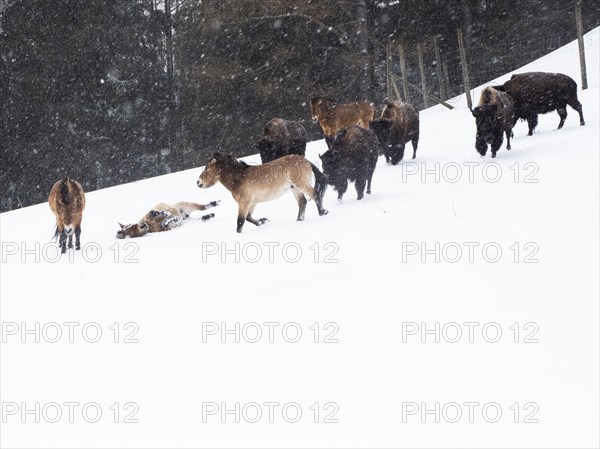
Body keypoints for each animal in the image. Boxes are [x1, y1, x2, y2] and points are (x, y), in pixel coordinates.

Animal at [197, 152, 328, 233]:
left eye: (207, 168)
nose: (198, 183)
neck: (238, 178)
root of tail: (305, 160)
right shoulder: (252, 203)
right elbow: (248, 218)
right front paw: (263, 221)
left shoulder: (244, 203)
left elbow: (240, 222)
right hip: (294, 188)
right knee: (302, 202)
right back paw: (299, 221)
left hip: (301, 185)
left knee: (315, 195)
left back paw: (323, 213)